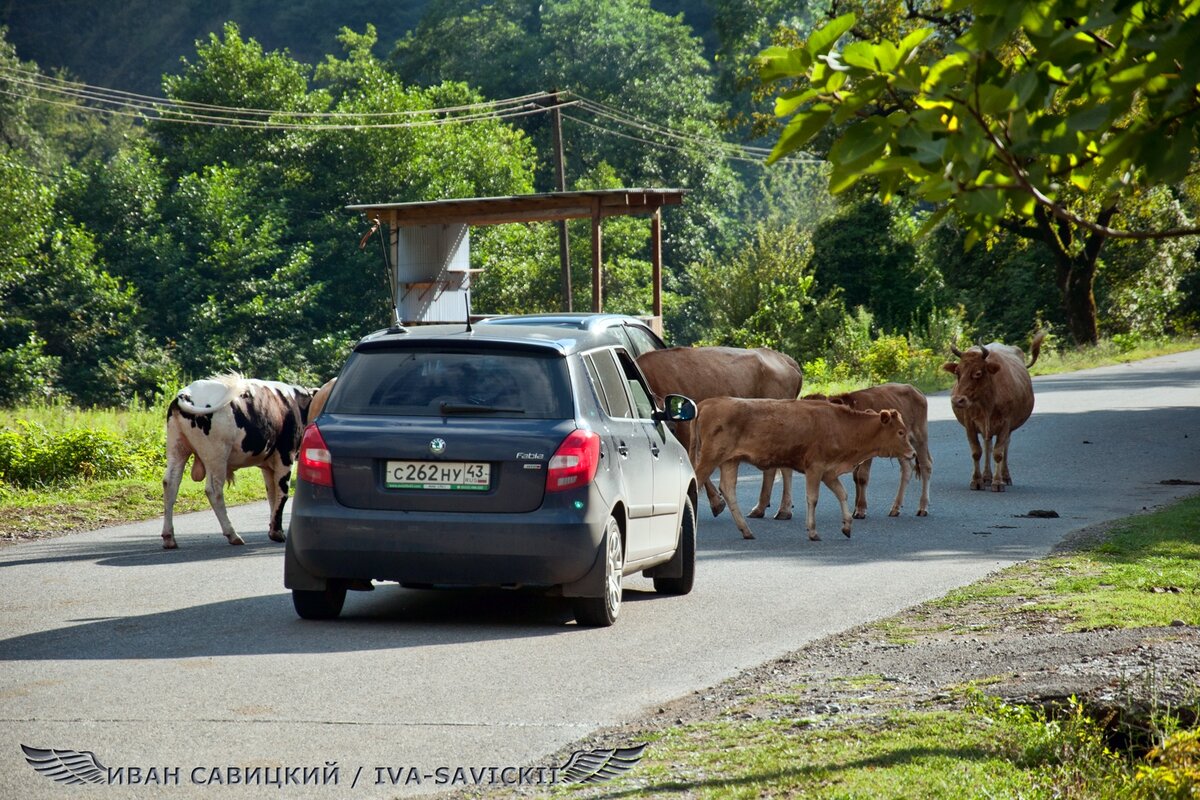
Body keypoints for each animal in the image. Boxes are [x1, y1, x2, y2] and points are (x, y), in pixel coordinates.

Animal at [164, 371, 331, 546]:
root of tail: (186, 393)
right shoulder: (285, 455)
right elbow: (282, 493)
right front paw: (277, 532)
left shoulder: (268, 465)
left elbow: (271, 494)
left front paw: (273, 528)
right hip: (216, 455)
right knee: (214, 491)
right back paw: (232, 534)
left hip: (177, 448)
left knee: (171, 484)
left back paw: (169, 537)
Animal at [638, 347, 806, 522]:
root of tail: (784, 358)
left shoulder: (687, 432)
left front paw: (717, 503)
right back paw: (760, 508)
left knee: (784, 467)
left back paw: (783, 510)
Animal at [691, 400, 912, 544]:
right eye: (901, 432)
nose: (912, 452)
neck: (841, 426)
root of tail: (709, 402)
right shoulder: (815, 467)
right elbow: (812, 498)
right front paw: (813, 532)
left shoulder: (829, 472)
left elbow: (842, 493)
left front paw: (847, 526)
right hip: (711, 457)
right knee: (698, 481)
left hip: (730, 460)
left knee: (728, 489)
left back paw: (746, 530)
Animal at [811, 386, 931, 522]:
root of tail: (915, 389)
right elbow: (855, 477)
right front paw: (856, 508)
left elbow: (862, 476)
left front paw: (860, 509)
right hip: (902, 447)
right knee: (907, 468)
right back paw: (895, 508)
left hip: (920, 438)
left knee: (926, 466)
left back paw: (923, 508)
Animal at [940, 331, 1046, 491]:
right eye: (957, 372)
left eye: (978, 373)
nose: (957, 400)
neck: (987, 403)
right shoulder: (970, 423)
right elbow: (976, 452)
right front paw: (977, 481)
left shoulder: (1006, 423)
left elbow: (998, 453)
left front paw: (998, 482)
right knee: (987, 444)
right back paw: (986, 476)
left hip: (1008, 428)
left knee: (1005, 447)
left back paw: (1005, 477)